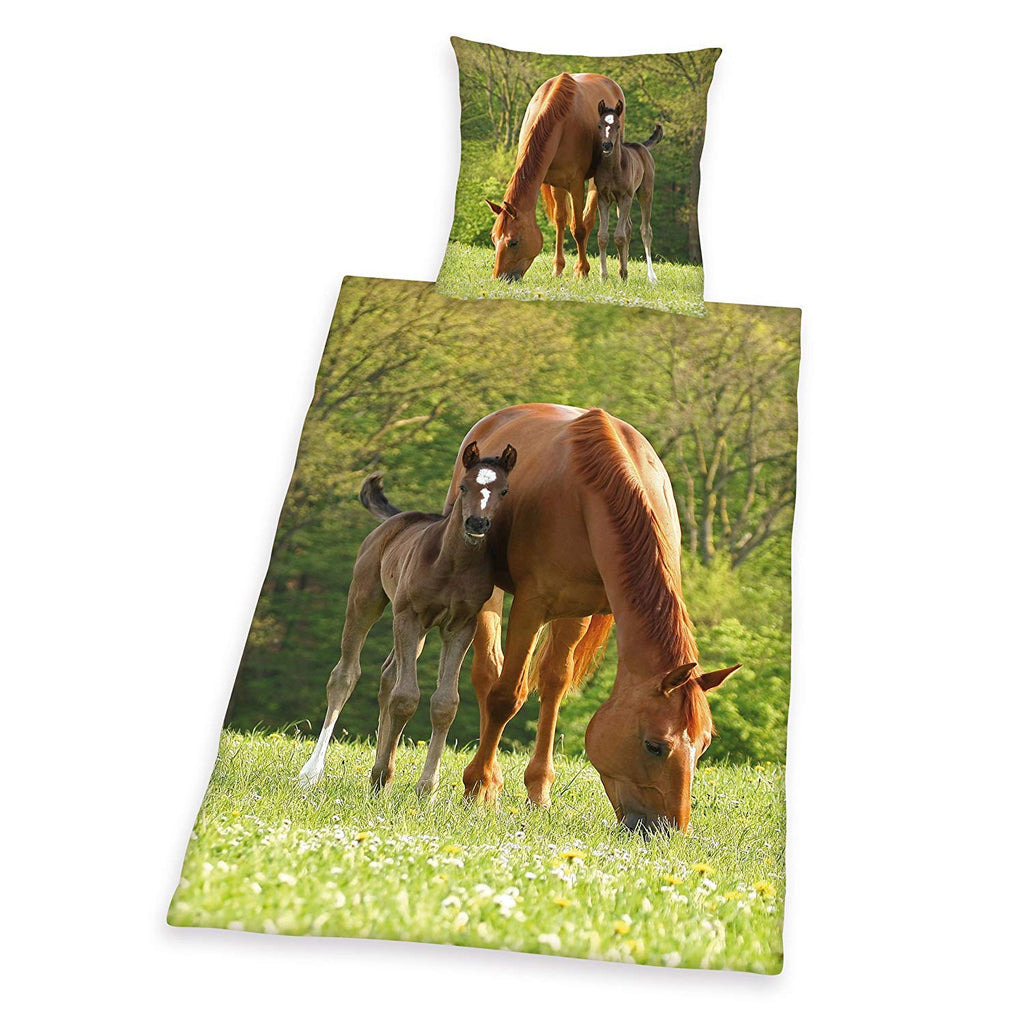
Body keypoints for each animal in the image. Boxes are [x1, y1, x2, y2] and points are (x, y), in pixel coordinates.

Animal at [298, 442, 518, 798]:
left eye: (504, 490)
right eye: (463, 486)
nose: (477, 523)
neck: (453, 564)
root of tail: (400, 517)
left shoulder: (460, 627)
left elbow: (444, 703)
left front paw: (426, 789)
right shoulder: (409, 616)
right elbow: (405, 698)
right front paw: (389, 778)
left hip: (421, 630)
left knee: (387, 676)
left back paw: (378, 773)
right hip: (366, 599)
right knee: (345, 675)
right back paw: (313, 772)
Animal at [442, 405, 739, 833]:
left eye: (704, 746)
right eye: (654, 746)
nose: (668, 831)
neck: (596, 493)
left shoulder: (578, 607)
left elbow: (555, 685)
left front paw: (539, 794)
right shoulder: (532, 605)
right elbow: (505, 696)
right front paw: (477, 788)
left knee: (547, 680)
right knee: (488, 674)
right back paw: (487, 781)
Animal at [486, 72, 625, 282]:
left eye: (514, 242)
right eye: (493, 238)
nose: (499, 278)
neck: (558, 119)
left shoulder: (576, 184)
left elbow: (578, 229)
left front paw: (582, 270)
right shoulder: (556, 182)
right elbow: (560, 221)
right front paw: (558, 268)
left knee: (587, 219)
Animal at [594, 100, 662, 284]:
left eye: (618, 125)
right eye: (599, 125)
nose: (607, 145)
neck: (612, 168)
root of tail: (642, 146)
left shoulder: (625, 197)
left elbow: (619, 236)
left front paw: (623, 273)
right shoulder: (603, 198)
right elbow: (603, 236)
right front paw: (604, 276)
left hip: (645, 192)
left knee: (645, 230)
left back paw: (651, 276)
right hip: (620, 201)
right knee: (629, 227)